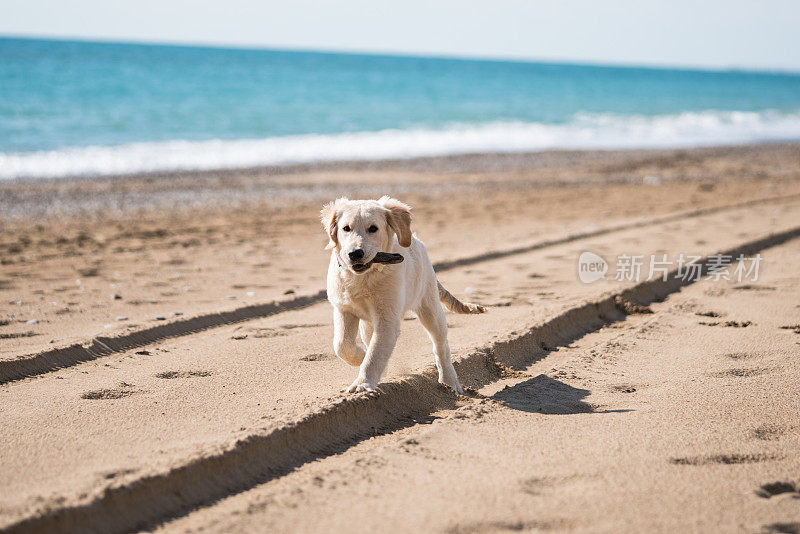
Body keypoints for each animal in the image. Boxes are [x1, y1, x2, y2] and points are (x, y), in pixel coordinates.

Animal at [320, 196, 484, 394]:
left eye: (373, 228)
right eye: (346, 228)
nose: (355, 253)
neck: (364, 277)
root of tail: (417, 241)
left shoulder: (388, 318)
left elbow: (375, 353)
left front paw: (362, 383)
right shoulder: (344, 309)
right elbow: (342, 345)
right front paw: (361, 358)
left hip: (430, 307)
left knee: (441, 346)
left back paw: (449, 381)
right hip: (369, 323)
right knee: (366, 339)